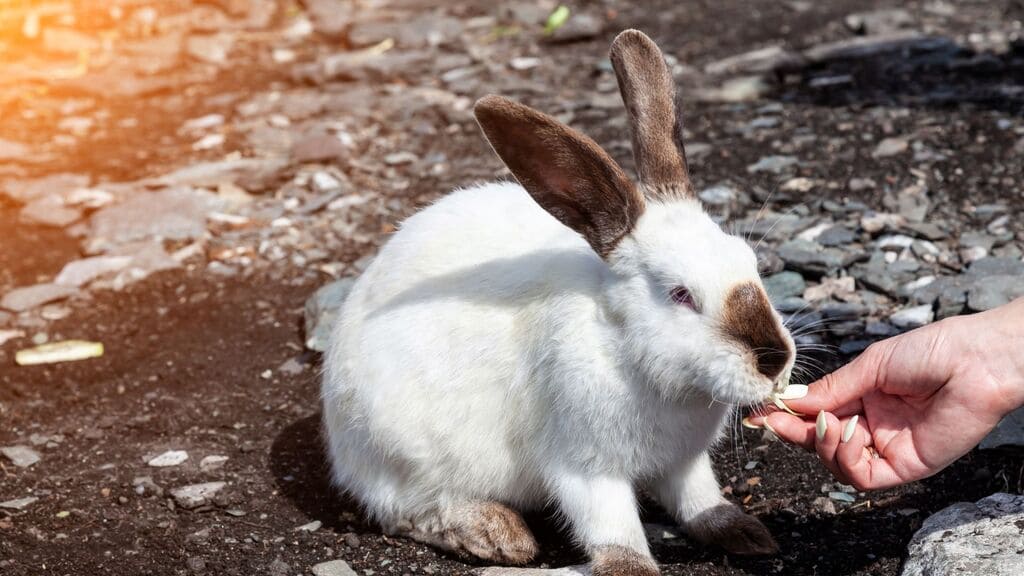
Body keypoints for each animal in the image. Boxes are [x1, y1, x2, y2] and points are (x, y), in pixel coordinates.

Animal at [323, 30, 794, 573]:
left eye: (751, 263)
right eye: (681, 294)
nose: (775, 360)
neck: (630, 351)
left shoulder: (684, 463)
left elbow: (700, 499)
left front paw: (745, 534)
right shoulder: (585, 466)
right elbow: (611, 529)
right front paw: (628, 565)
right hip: (405, 450)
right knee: (405, 510)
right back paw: (495, 535)